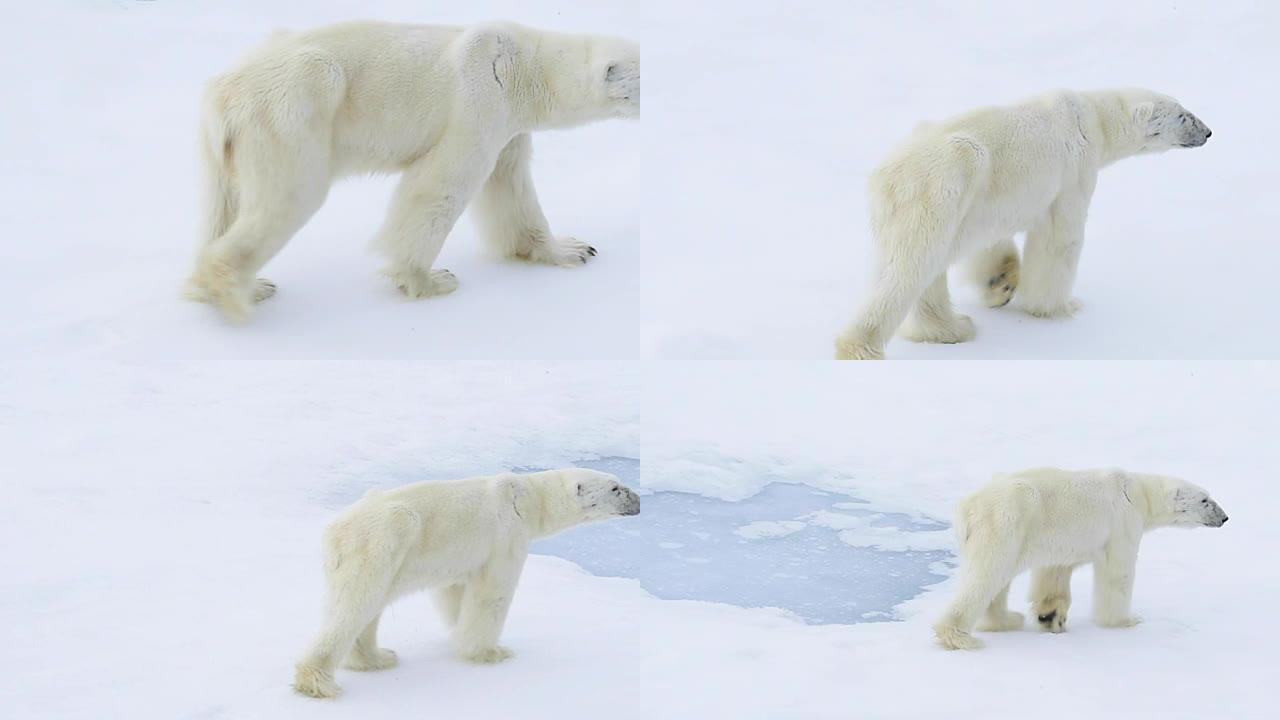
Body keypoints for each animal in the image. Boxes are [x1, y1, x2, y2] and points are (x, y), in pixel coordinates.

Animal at [185, 20, 640, 319]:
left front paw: (572, 249)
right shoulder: (480, 101)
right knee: (289, 196)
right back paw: (234, 289)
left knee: (223, 206)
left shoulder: (509, 126)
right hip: (294, 110)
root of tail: (223, 95)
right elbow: (441, 185)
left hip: (223, 148)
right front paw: (428, 280)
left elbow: (510, 186)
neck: (522, 67)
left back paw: (233, 286)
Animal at [295, 466, 645, 696]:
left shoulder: (460, 556)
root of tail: (335, 531)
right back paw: (317, 681)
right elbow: (492, 594)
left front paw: (459, 634)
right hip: (385, 540)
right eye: (615, 487)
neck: (528, 498)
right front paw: (491, 652)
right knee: (354, 606)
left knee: (369, 608)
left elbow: (454, 591)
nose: (639, 500)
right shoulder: (507, 536)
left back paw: (377, 658)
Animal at [834, 89, 1213, 358]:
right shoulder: (1073, 170)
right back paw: (860, 347)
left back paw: (951, 328)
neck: (1093, 117)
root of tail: (887, 177)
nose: (1208, 131)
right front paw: (1061, 307)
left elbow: (990, 239)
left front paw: (1001, 283)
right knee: (909, 267)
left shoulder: (990, 200)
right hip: (950, 179)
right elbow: (1059, 239)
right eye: (1183, 115)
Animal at [936, 468, 1223, 648]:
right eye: (1205, 499)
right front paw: (1127, 620)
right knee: (985, 576)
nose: (1225, 517)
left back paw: (1008, 619)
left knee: (998, 581)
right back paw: (959, 637)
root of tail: (965, 509)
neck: (1137, 492)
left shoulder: (1060, 541)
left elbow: (1054, 573)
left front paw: (1051, 616)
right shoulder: (1122, 524)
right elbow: (1117, 574)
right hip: (1005, 523)